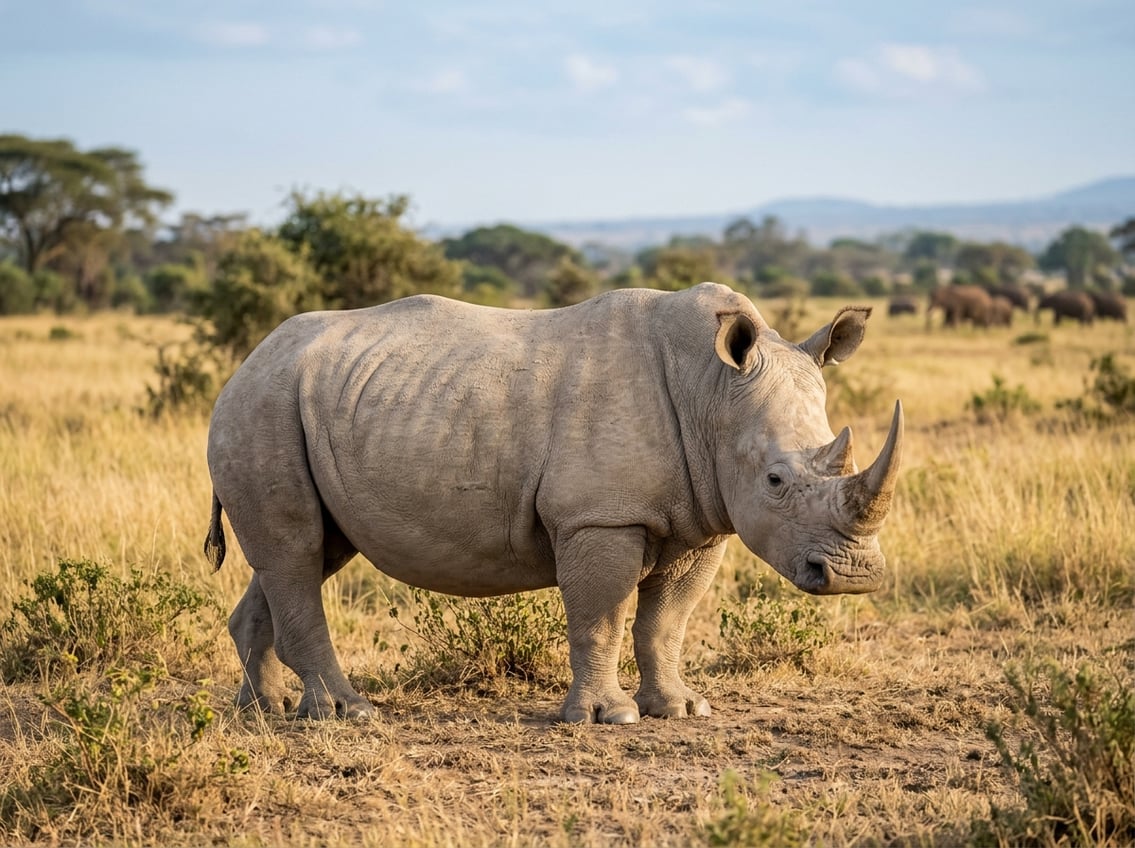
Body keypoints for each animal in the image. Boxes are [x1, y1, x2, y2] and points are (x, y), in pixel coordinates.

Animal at [204, 283, 903, 723]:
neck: (711, 390)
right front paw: (607, 717)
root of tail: (245, 364)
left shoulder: (702, 520)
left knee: (307, 553)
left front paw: (680, 709)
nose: (855, 576)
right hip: (262, 407)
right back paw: (345, 715)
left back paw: (265, 711)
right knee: (295, 552)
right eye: (776, 481)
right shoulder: (599, 516)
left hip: (302, 404)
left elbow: (665, 622)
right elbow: (602, 615)